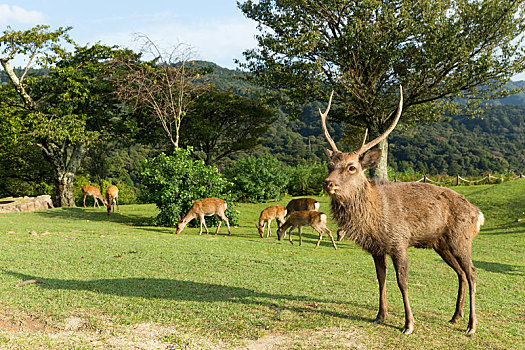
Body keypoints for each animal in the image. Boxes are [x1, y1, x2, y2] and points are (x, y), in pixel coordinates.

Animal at [316, 86, 484, 334]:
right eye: (330, 165)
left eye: (352, 167)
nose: (328, 183)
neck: (374, 219)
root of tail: (478, 214)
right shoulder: (376, 248)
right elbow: (380, 278)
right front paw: (380, 315)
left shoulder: (399, 241)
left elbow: (402, 281)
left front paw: (408, 324)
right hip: (441, 243)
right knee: (461, 273)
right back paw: (455, 317)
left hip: (461, 238)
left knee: (471, 272)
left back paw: (471, 325)